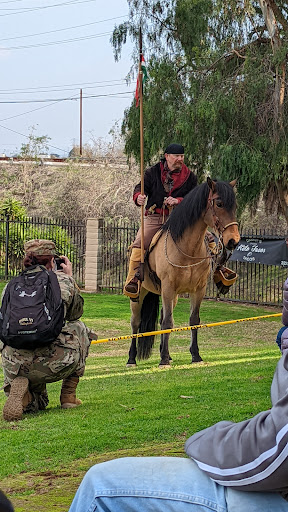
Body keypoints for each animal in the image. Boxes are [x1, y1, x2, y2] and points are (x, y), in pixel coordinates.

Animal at [126, 178, 241, 366]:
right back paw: (131, 358)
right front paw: (164, 360)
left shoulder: (198, 289)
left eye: (235, 206)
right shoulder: (168, 288)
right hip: (140, 294)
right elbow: (168, 322)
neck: (187, 249)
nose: (233, 240)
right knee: (136, 322)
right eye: (219, 203)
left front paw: (195, 355)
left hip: (173, 297)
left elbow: (193, 320)